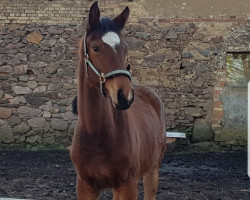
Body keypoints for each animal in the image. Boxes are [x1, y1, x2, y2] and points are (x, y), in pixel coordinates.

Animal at [70, 1, 166, 198]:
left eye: (125, 48)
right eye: (95, 47)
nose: (124, 96)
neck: (96, 135)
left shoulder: (126, 185)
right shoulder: (85, 186)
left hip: (153, 169)